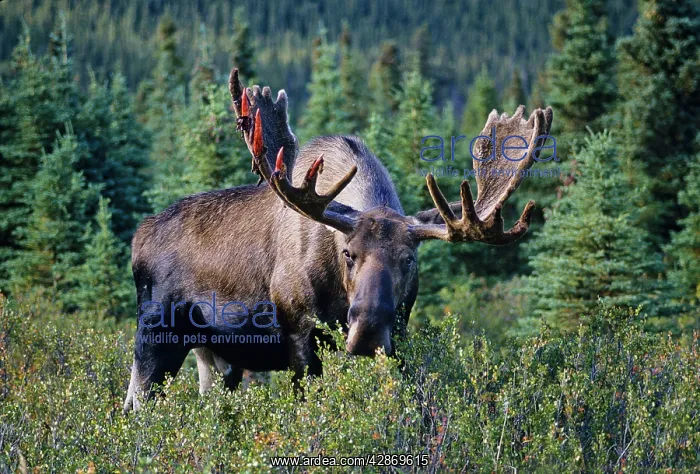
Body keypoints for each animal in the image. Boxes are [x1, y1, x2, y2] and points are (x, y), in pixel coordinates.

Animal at [123, 68, 553, 411]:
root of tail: (138, 238)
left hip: (213, 355)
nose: (367, 332)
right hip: (157, 335)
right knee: (136, 406)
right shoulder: (299, 335)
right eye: (348, 253)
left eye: (409, 259)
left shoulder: (400, 335)